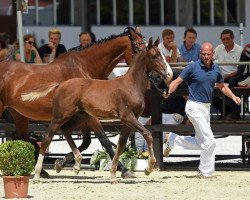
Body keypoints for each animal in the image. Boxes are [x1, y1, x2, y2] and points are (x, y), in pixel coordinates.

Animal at [0, 26, 145, 178]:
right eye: (138, 47)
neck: (84, 66)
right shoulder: (91, 116)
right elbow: (104, 141)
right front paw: (125, 170)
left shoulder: (83, 116)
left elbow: (86, 142)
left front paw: (61, 163)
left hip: (18, 114)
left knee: (23, 138)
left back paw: (42, 171)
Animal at [27, 37, 172, 183]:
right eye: (154, 56)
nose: (169, 74)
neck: (131, 85)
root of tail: (60, 84)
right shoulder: (127, 116)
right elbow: (147, 134)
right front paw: (149, 168)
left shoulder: (130, 119)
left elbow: (121, 143)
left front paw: (115, 173)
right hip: (60, 116)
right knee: (47, 137)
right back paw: (38, 174)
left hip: (81, 116)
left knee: (66, 131)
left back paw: (76, 165)